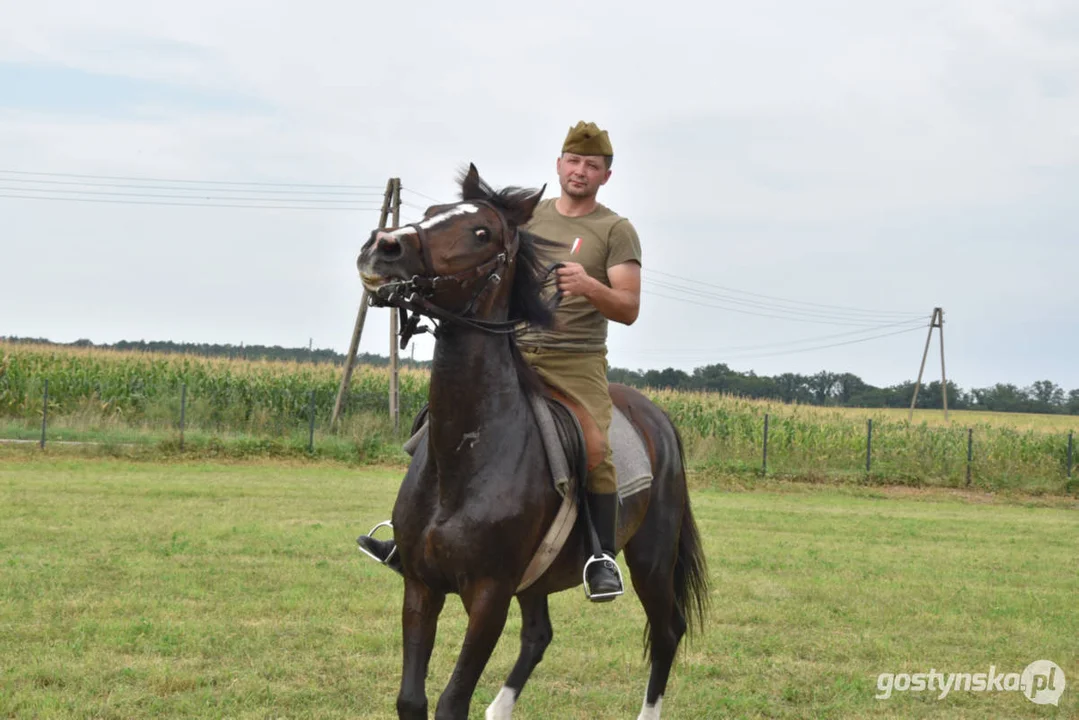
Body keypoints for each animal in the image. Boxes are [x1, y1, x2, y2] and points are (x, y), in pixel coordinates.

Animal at [353, 166, 707, 716]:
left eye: (482, 233)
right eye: (431, 213)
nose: (382, 246)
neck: (466, 457)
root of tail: (657, 417)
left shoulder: (489, 597)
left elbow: (451, 701)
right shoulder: (421, 586)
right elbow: (412, 700)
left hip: (651, 558)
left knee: (668, 631)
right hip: (538, 579)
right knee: (539, 635)